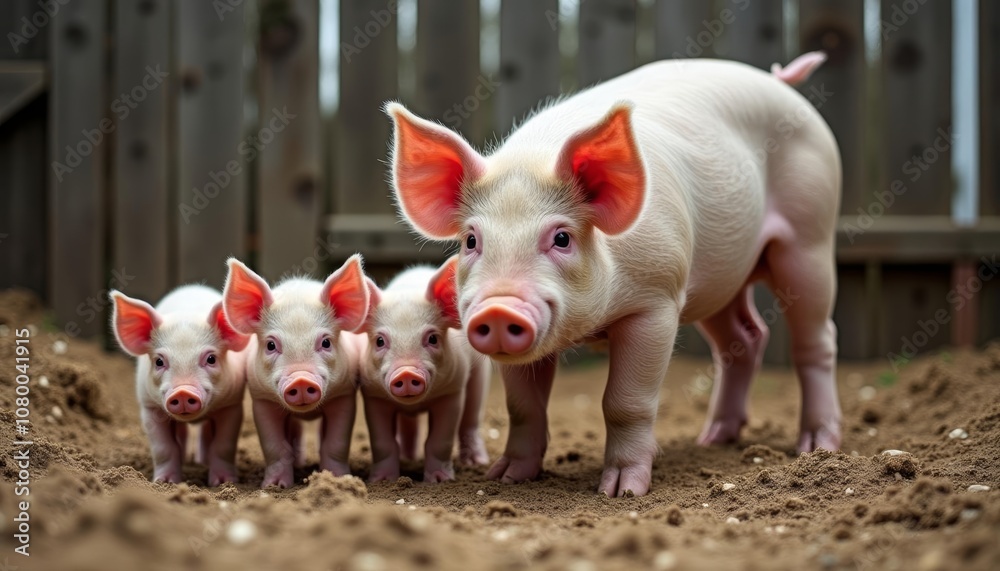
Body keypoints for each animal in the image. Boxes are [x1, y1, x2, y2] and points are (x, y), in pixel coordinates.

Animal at [109, 286, 251, 485]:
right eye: (159, 361)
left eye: (211, 359)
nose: (183, 392)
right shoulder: (149, 407)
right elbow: (163, 448)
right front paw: (165, 482)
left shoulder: (231, 405)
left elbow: (223, 445)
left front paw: (223, 483)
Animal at [222, 255, 370, 488]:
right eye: (271, 345)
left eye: (326, 342)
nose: (301, 380)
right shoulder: (262, 400)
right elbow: (274, 447)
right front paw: (276, 487)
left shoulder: (344, 395)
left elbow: (336, 443)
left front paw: (337, 481)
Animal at [358, 257, 490, 483]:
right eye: (380, 341)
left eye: (433, 338)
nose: (406, 372)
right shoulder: (374, 397)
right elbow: (383, 443)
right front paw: (383, 481)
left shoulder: (452, 392)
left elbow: (439, 440)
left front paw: (439, 481)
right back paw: (408, 458)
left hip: (479, 373)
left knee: (471, 418)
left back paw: (477, 463)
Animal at [384, 52, 842, 497]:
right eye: (471, 240)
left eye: (562, 238)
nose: (498, 309)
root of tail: (778, 81)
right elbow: (524, 406)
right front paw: (507, 478)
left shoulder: (657, 299)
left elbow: (625, 402)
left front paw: (621, 492)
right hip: (719, 280)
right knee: (744, 339)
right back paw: (713, 439)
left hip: (810, 237)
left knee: (817, 338)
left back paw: (817, 446)